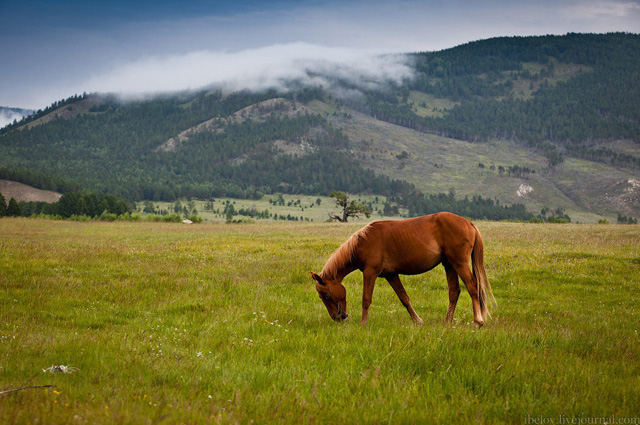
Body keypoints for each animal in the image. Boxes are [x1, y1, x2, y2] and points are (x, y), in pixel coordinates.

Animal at [312, 210, 492, 326]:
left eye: (325, 295)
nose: (338, 317)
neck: (363, 243)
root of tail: (468, 223)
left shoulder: (370, 273)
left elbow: (366, 299)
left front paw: (363, 323)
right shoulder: (391, 275)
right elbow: (404, 298)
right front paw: (418, 321)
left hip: (459, 263)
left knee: (472, 287)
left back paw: (478, 321)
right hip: (449, 264)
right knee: (454, 292)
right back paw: (447, 322)